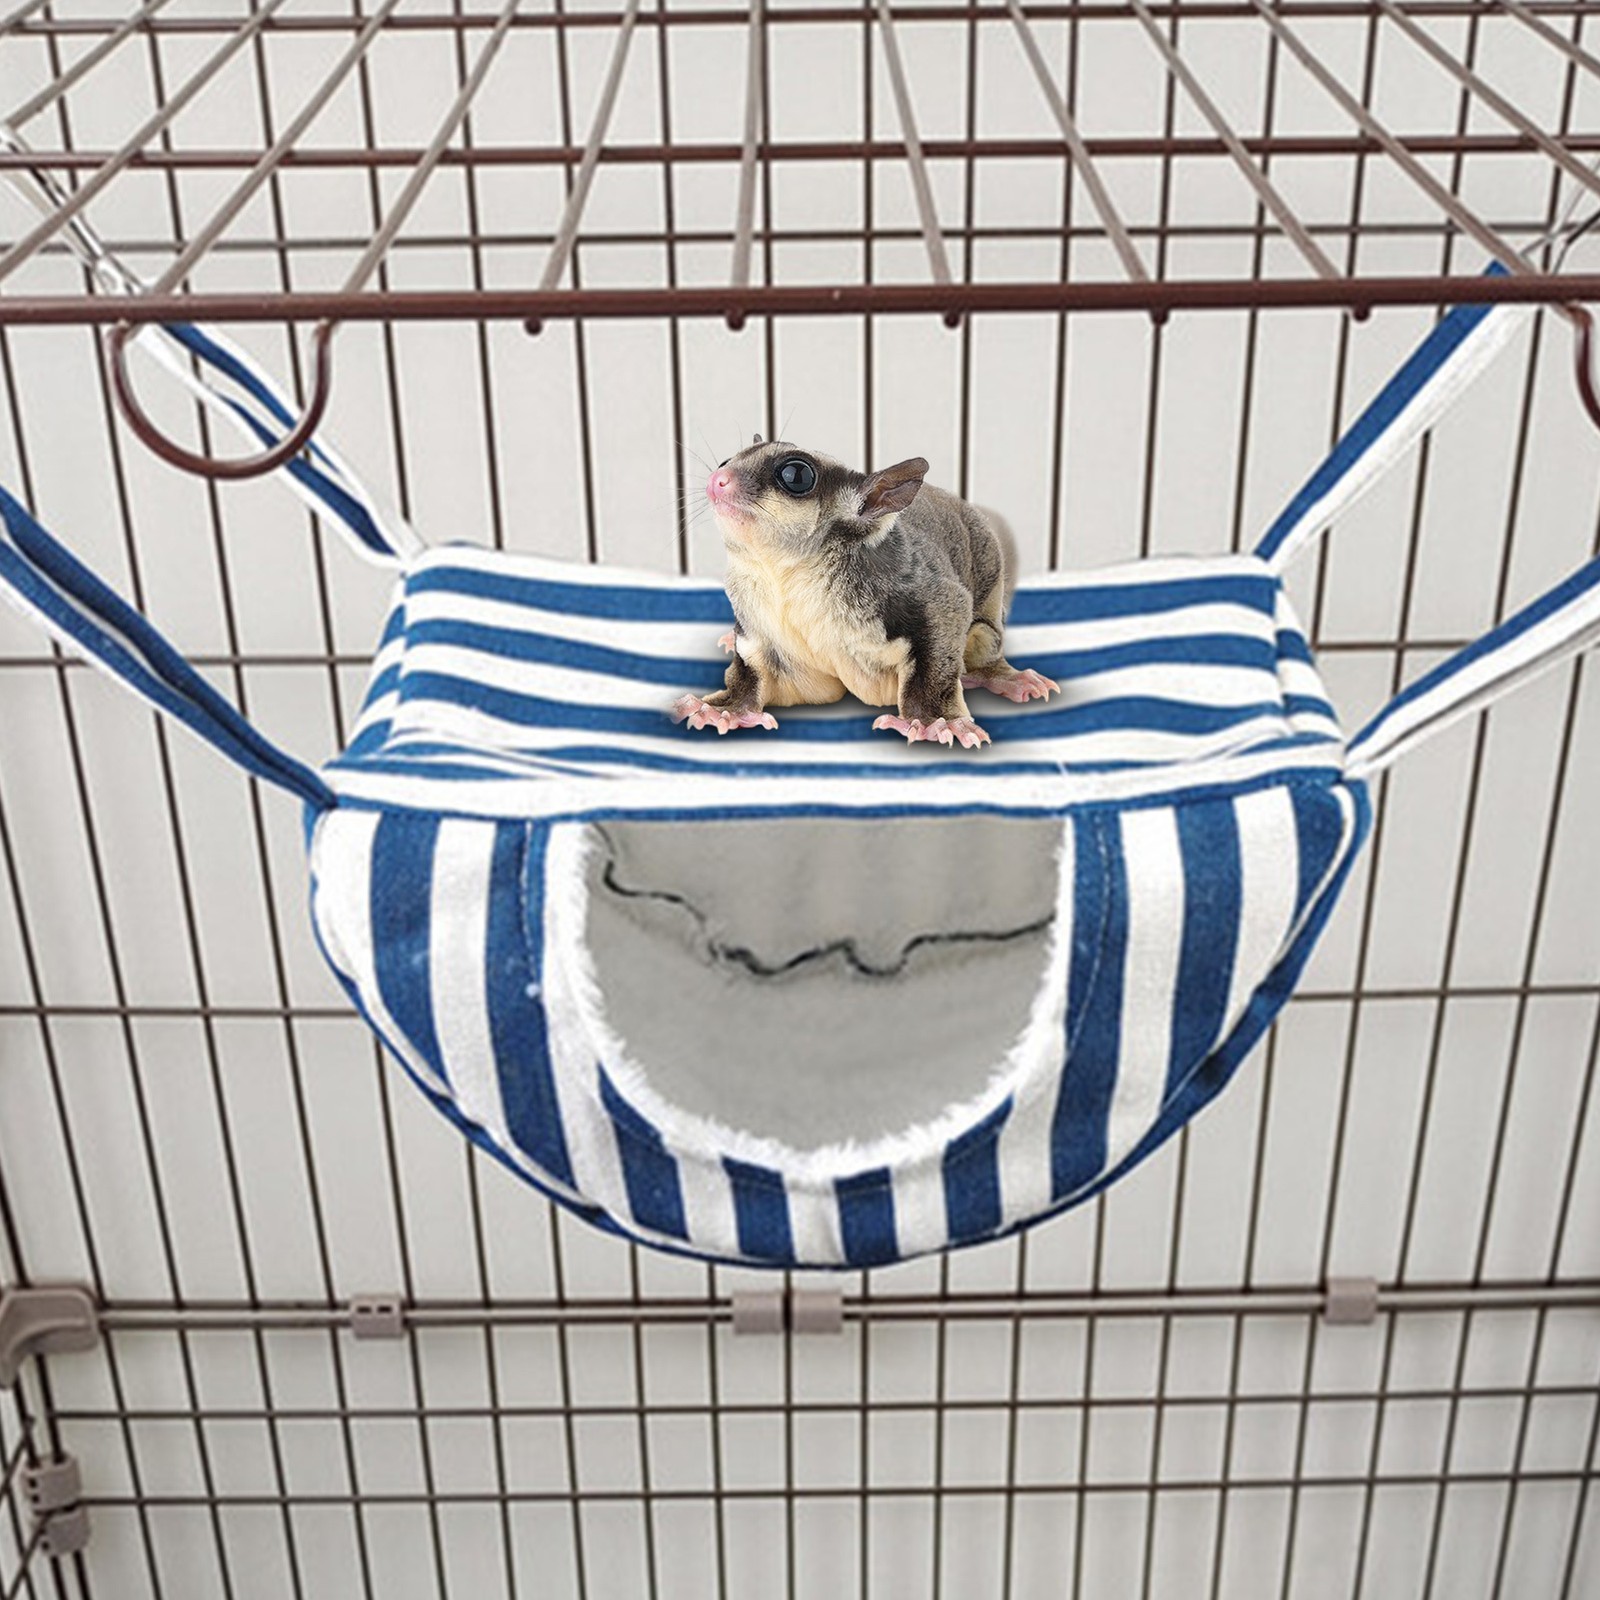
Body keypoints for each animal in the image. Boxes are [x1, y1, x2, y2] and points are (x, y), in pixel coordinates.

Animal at [672, 436, 1058, 748]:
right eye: (725, 461)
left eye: (795, 475)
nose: (717, 480)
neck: (787, 574)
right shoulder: (762, 629)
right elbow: (754, 669)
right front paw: (726, 710)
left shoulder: (914, 590)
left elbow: (945, 624)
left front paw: (934, 721)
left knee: (982, 639)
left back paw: (1003, 676)